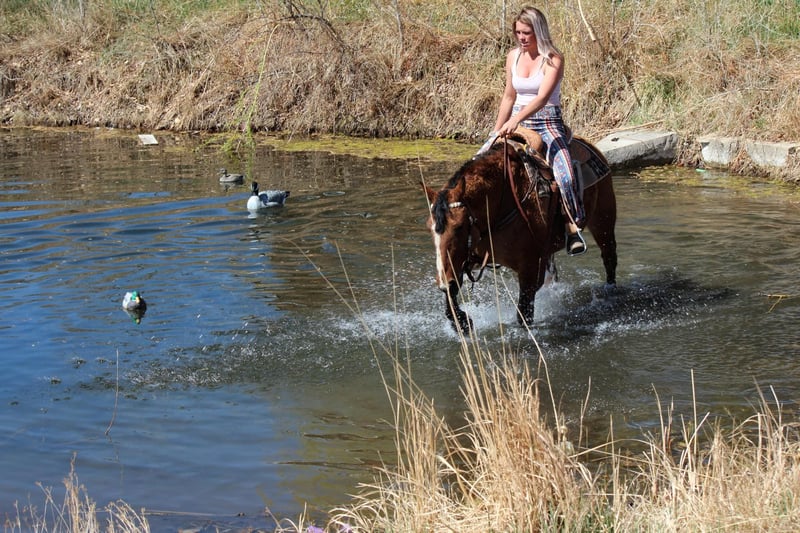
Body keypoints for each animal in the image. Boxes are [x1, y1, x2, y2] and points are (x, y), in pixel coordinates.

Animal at [422, 130, 617, 331]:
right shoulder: (467, 260)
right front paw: (463, 322)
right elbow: (451, 299)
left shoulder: (529, 269)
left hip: (603, 222)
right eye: (430, 228)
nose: (443, 282)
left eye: (460, 227)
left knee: (609, 258)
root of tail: (590, 145)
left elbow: (524, 316)